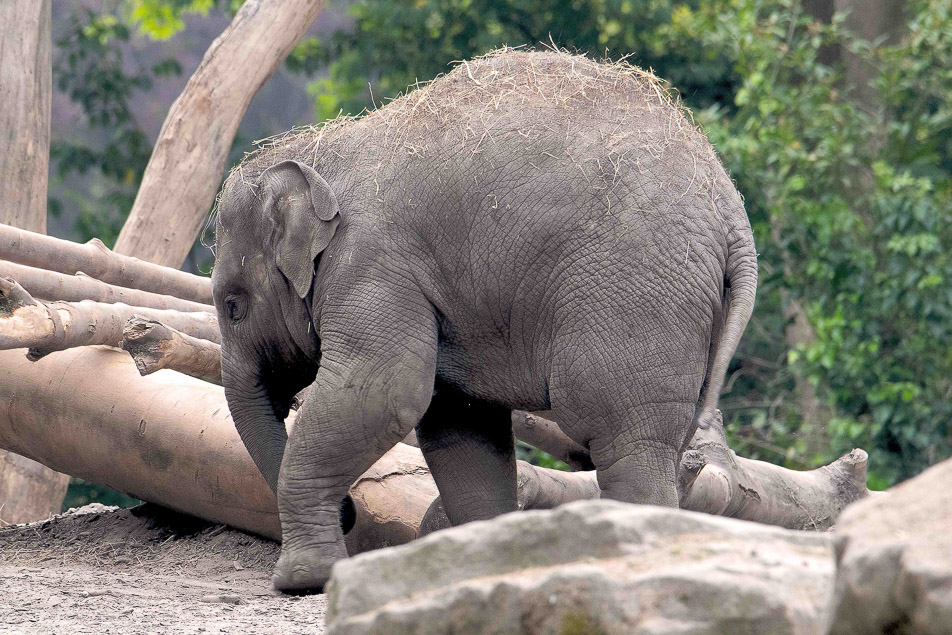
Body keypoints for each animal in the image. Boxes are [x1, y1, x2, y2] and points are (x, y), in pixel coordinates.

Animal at [211, 49, 757, 593]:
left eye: (233, 306)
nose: (350, 513)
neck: (322, 149)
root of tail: (734, 216)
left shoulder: (372, 267)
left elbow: (383, 391)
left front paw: (302, 581)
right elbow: (460, 425)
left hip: (633, 292)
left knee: (623, 439)